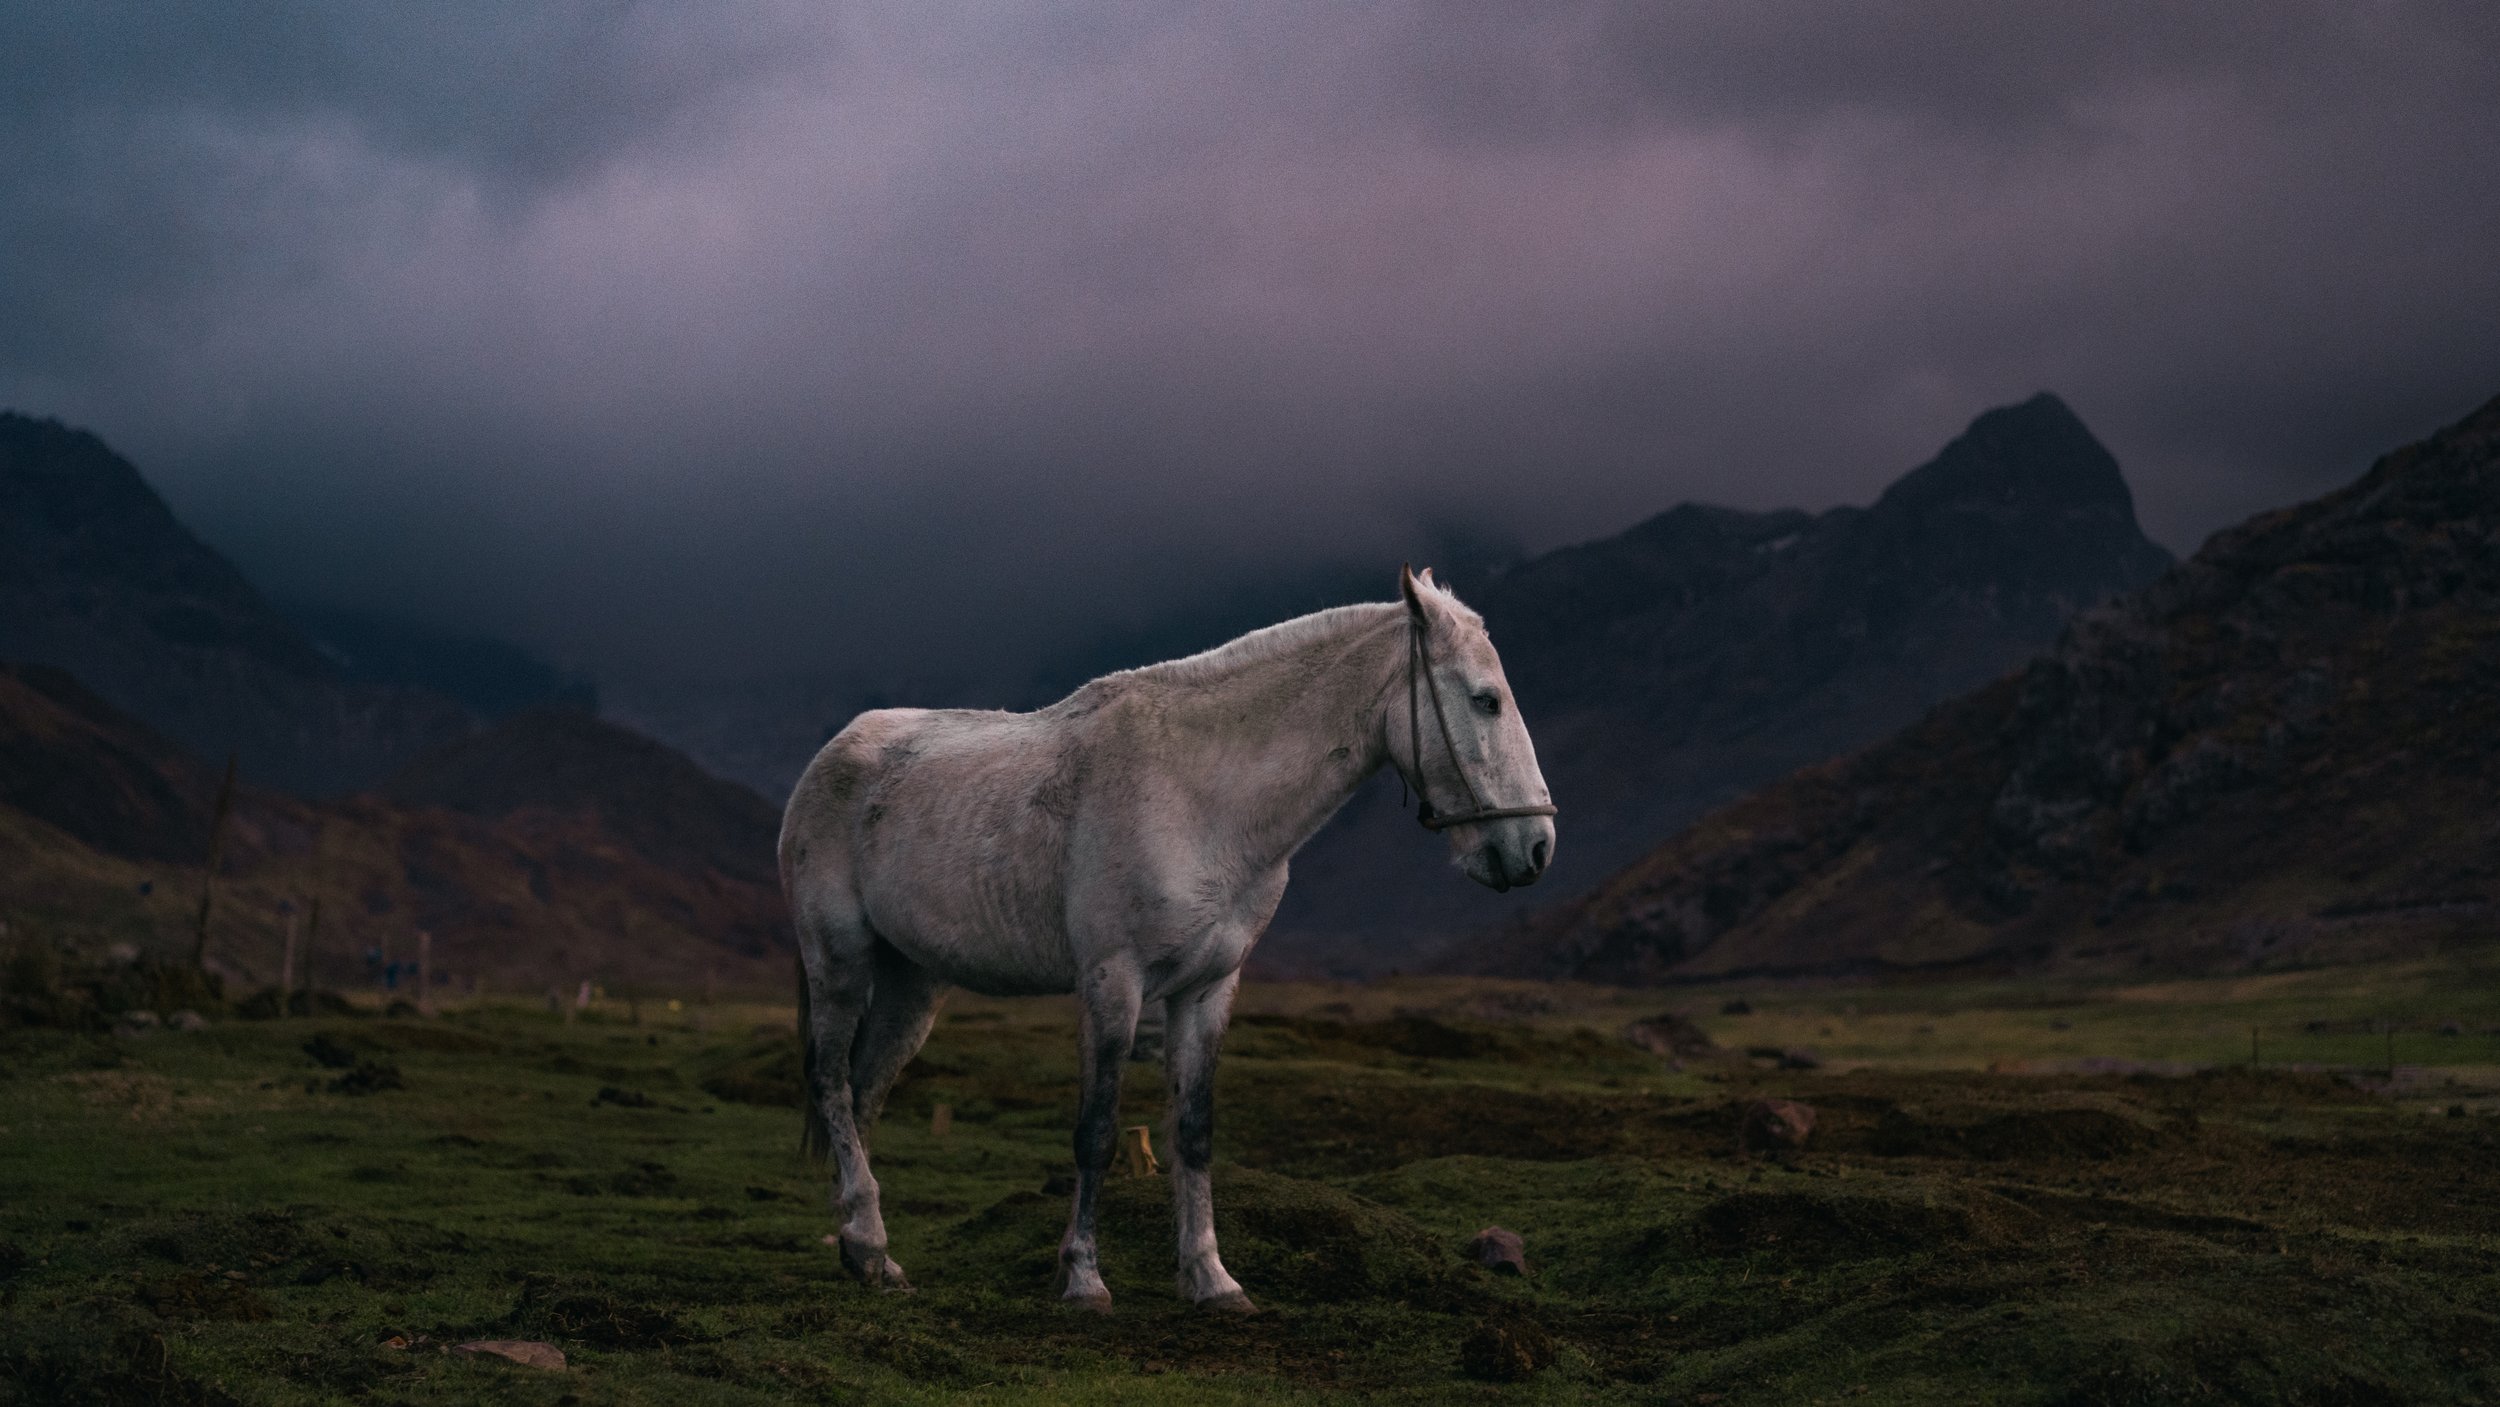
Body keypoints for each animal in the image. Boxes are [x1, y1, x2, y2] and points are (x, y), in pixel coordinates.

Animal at [777, 565, 1556, 1312]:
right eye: (1486, 700)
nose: (1536, 847)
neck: (1202, 796)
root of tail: (830, 759)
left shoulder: (1207, 989)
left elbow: (1193, 1131)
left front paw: (1211, 1278)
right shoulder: (1113, 982)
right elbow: (1096, 1132)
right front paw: (1083, 1279)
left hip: (913, 983)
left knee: (864, 1090)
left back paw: (868, 1254)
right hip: (840, 962)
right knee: (830, 1080)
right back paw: (868, 1239)